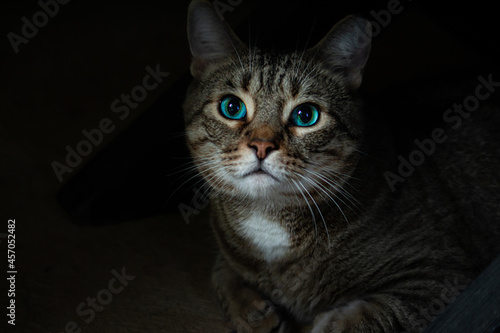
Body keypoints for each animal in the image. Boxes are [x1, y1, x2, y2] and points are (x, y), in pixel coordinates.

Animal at [181, 1, 500, 330]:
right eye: (231, 108)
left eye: (306, 115)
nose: (261, 146)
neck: (269, 218)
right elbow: (221, 272)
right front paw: (254, 315)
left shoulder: (440, 277)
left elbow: (350, 322)